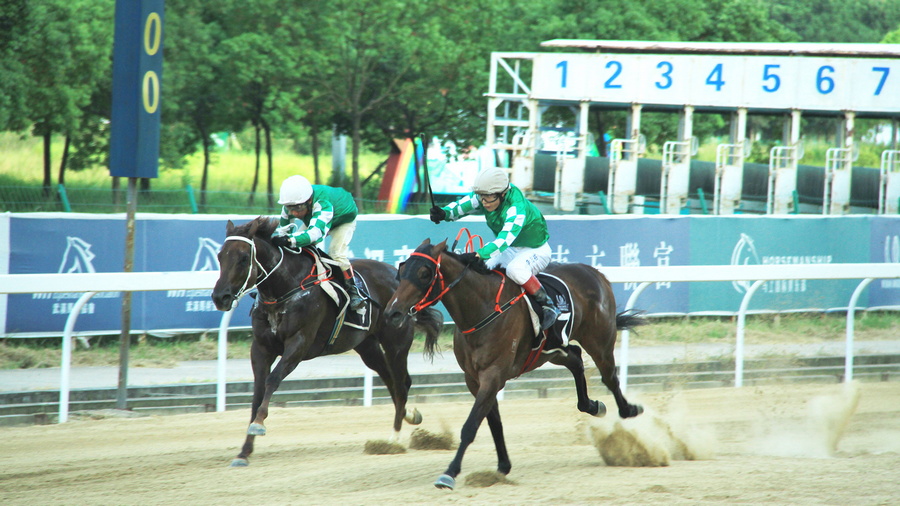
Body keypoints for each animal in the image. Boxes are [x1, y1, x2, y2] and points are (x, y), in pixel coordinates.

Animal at [215, 217, 446, 466]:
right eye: (220, 256)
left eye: (243, 258)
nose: (220, 297)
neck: (285, 288)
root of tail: (400, 277)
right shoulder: (261, 348)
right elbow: (257, 393)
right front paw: (244, 452)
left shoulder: (299, 343)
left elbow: (273, 379)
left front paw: (258, 424)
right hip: (367, 346)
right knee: (391, 380)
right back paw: (408, 417)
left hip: (396, 343)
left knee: (402, 383)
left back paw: (394, 439)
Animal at [386, 239, 648, 488]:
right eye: (402, 270)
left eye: (424, 272)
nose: (392, 313)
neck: (482, 309)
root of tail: (596, 272)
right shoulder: (474, 379)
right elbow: (494, 422)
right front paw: (503, 465)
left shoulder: (493, 374)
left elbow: (471, 426)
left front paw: (449, 474)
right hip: (551, 349)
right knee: (574, 358)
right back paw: (592, 405)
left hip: (599, 341)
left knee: (609, 376)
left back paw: (629, 410)